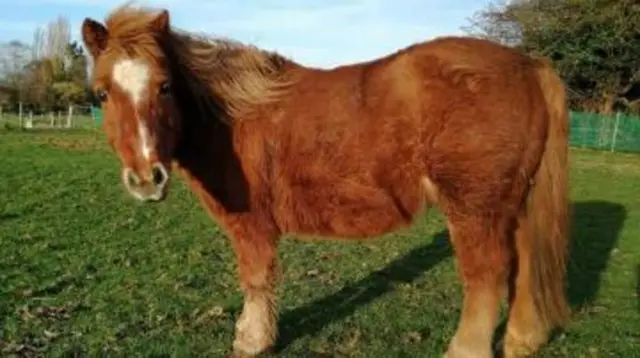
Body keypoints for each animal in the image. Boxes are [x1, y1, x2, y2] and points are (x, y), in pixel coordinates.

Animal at [82, 5, 572, 358]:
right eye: (102, 93)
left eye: (164, 87)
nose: (147, 179)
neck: (233, 115)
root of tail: (529, 64)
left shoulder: (251, 226)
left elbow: (256, 280)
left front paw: (252, 340)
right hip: (514, 203)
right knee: (525, 261)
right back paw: (523, 340)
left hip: (475, 208)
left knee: (487, 275)